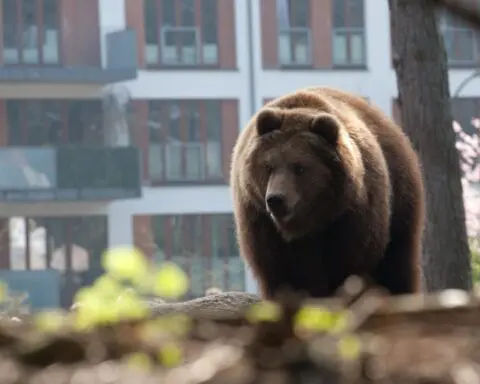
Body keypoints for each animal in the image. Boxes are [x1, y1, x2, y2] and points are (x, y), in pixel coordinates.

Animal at [231, 87, 426, 300]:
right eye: (268, 166)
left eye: (299, 167)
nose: (276, 199)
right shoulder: (261, 222)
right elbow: (280, 273)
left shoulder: (350, 218)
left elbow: (348, 267)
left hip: (400, 202)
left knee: (398, 264)